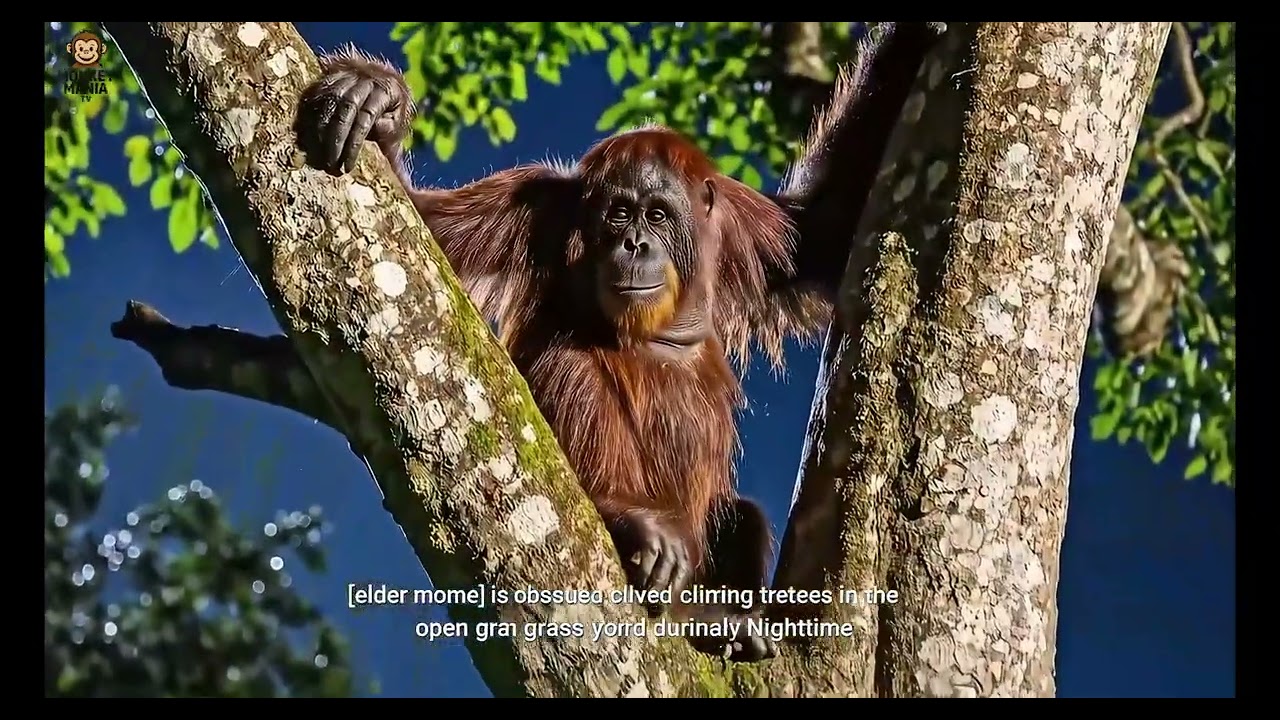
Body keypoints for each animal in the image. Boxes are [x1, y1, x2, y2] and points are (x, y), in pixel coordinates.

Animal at [295, 22, 944, 662]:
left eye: (657, 216)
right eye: (618, 214)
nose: (634, 245)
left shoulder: (743, 227)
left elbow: (822, 233)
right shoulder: (531, 207)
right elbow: (421, 248)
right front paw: (378, 98)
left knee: (738, 516)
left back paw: (721, 622)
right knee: (573, 361)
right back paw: (629, 524)